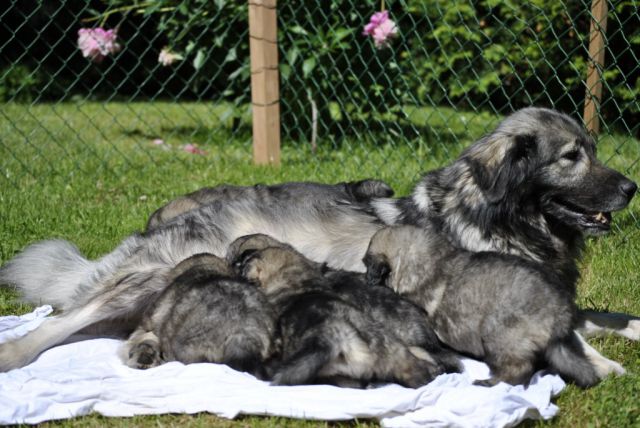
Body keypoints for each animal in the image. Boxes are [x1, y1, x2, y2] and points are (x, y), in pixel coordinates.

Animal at [364, 227, 600, 388]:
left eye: (367, 264)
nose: (366, 278)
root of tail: (559, 315)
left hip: (498, 333)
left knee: (518, 370)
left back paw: (490, 383)